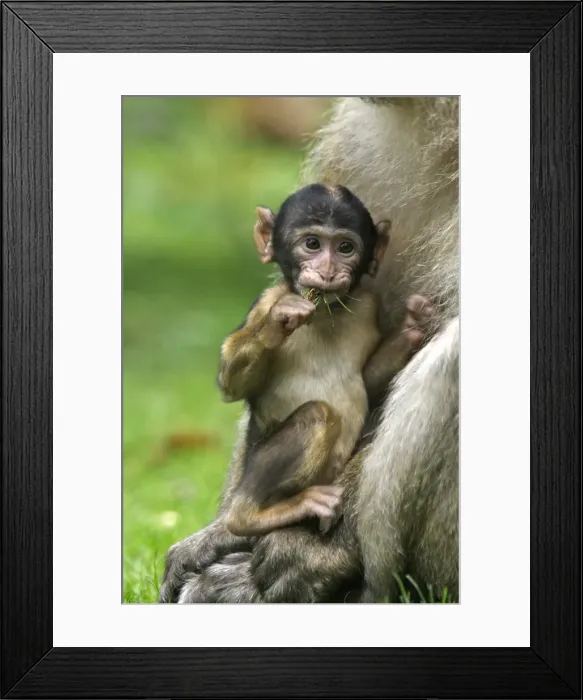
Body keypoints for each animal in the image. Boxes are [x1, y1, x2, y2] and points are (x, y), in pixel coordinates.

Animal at [218, 184, 432, 539]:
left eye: (345, 247)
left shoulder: (368, 304)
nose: (328, 270)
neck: (325, 313)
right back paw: (249, 516)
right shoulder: (265, 302)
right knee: (317, 414)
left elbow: (368, 379)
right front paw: (277, 323)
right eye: (312, 244)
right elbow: (231, 386)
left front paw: (411, 326)